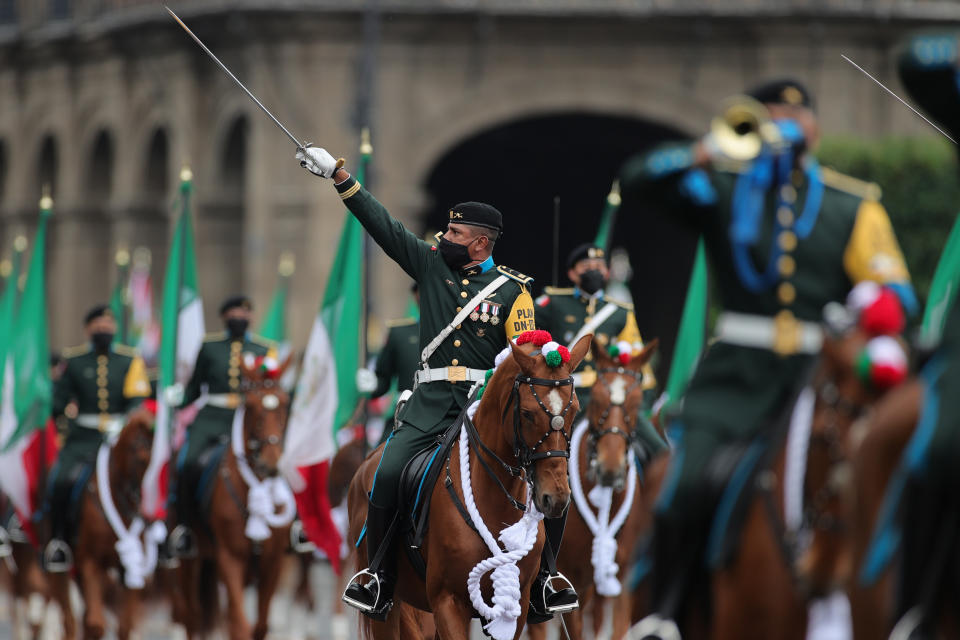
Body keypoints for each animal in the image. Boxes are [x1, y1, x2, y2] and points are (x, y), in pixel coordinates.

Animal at [49, 410, 159, 640]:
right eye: (141, 459)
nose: (149, 515)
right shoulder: (89, 562)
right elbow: (96, 624)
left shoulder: (128, 569)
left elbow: (125, 626)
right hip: (60, 569)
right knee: (69, 620)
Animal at [171, 356, 294, 640]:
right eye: (250, 405)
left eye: (284, 403)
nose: (271, 464)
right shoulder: (229, 560)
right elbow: (239, 624)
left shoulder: (272, 564)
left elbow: (260, 626)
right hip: (189, 561)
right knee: (192, 615)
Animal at [348, 336, 588, 640]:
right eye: (527, 414)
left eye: (574, 410)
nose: (555, 499)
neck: (495, 502)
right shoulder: (448, 603)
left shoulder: (517, 606)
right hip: (390, 610)